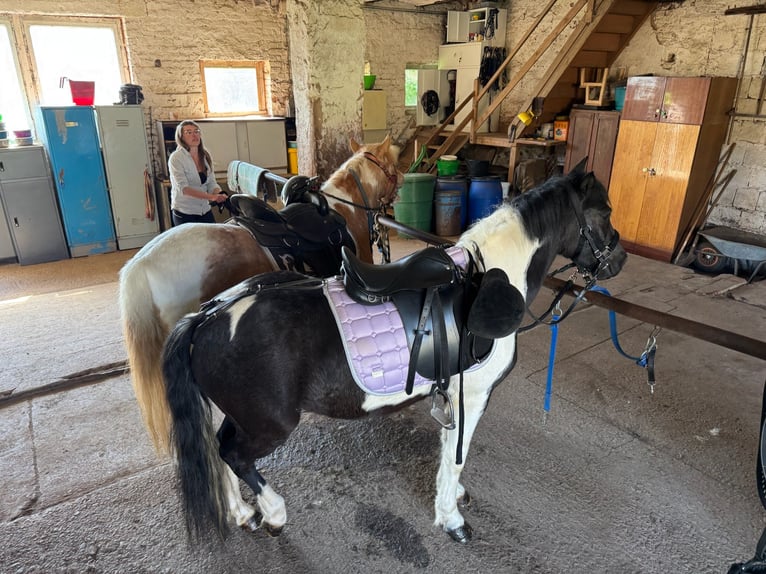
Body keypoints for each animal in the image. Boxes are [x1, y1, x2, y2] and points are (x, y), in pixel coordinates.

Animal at [160, 161, 627, 543]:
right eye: (603, 211)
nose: (619, 259)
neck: (489, 277)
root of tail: (208, 316)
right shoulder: (474, 395)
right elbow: (456, 457)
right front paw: (451, 519)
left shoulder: (452, 394)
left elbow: (449, 452)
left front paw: (451, 497)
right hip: (269, 425)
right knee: (233, 455)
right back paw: (273, 513)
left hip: (240, 416)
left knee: (220, 450)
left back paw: (243, 513)